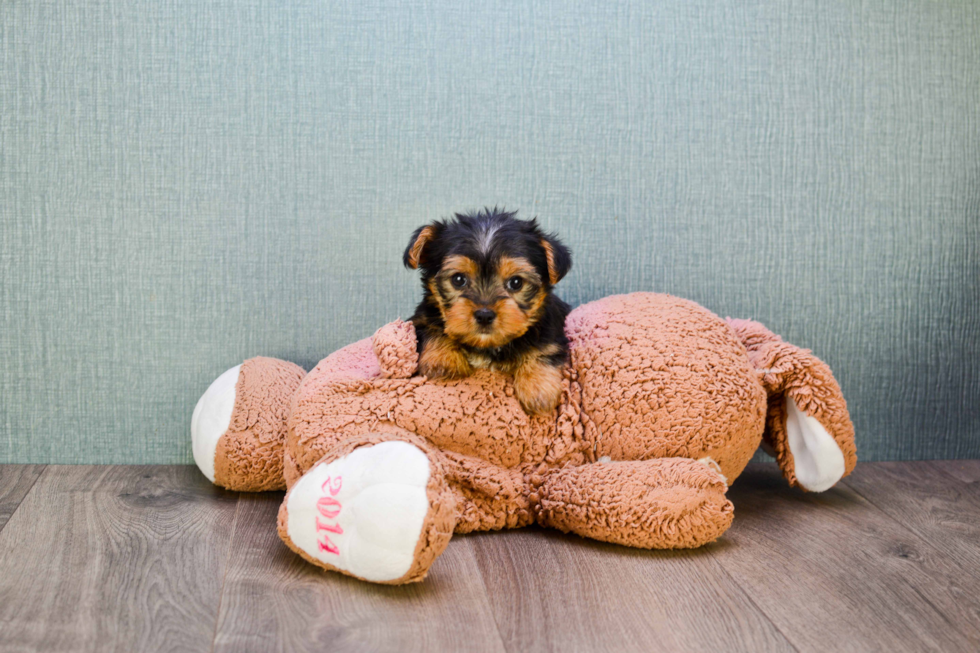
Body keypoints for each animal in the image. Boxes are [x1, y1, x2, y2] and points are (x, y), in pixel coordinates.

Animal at [404, 206, 576, 416]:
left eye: (516, 282)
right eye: (458, 279)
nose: (484, 315)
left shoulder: (550, 327)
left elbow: (545, 348)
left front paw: (538, 389)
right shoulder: (421, 318)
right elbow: (431, 329)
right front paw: (443, 360)